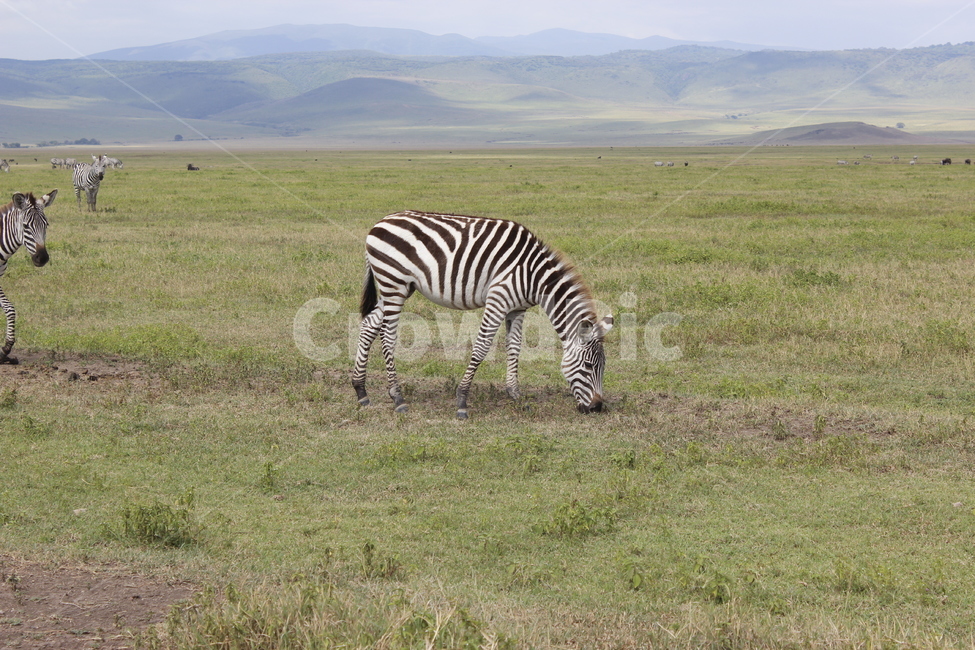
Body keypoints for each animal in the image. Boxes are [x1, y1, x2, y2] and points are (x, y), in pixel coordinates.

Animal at [352, 210, 614, 419]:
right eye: (589, 366)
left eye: (603, 367)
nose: (597, 408)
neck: (533, 275)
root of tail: (380, 222)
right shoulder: (498, 299)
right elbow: (482, 347)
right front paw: (462, 401)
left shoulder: (517, 308)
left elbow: (514, 347)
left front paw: (515, 395)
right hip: (393, 283)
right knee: (387, 336)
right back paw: (397, 398)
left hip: (400, 287)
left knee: (369, 324)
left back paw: (361, 391)